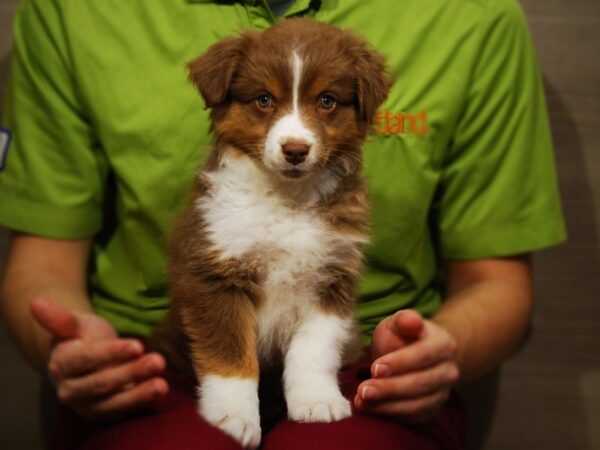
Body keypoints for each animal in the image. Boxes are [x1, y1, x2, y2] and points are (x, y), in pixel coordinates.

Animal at [154, 18, 390, 450]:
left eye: (327, 101)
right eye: (264, 100)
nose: (295, 149)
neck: (287, 199)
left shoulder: (332, 277)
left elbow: (314, 349)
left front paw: (316, 401)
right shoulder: (215, 273)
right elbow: (230, 354)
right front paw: (232, 417)